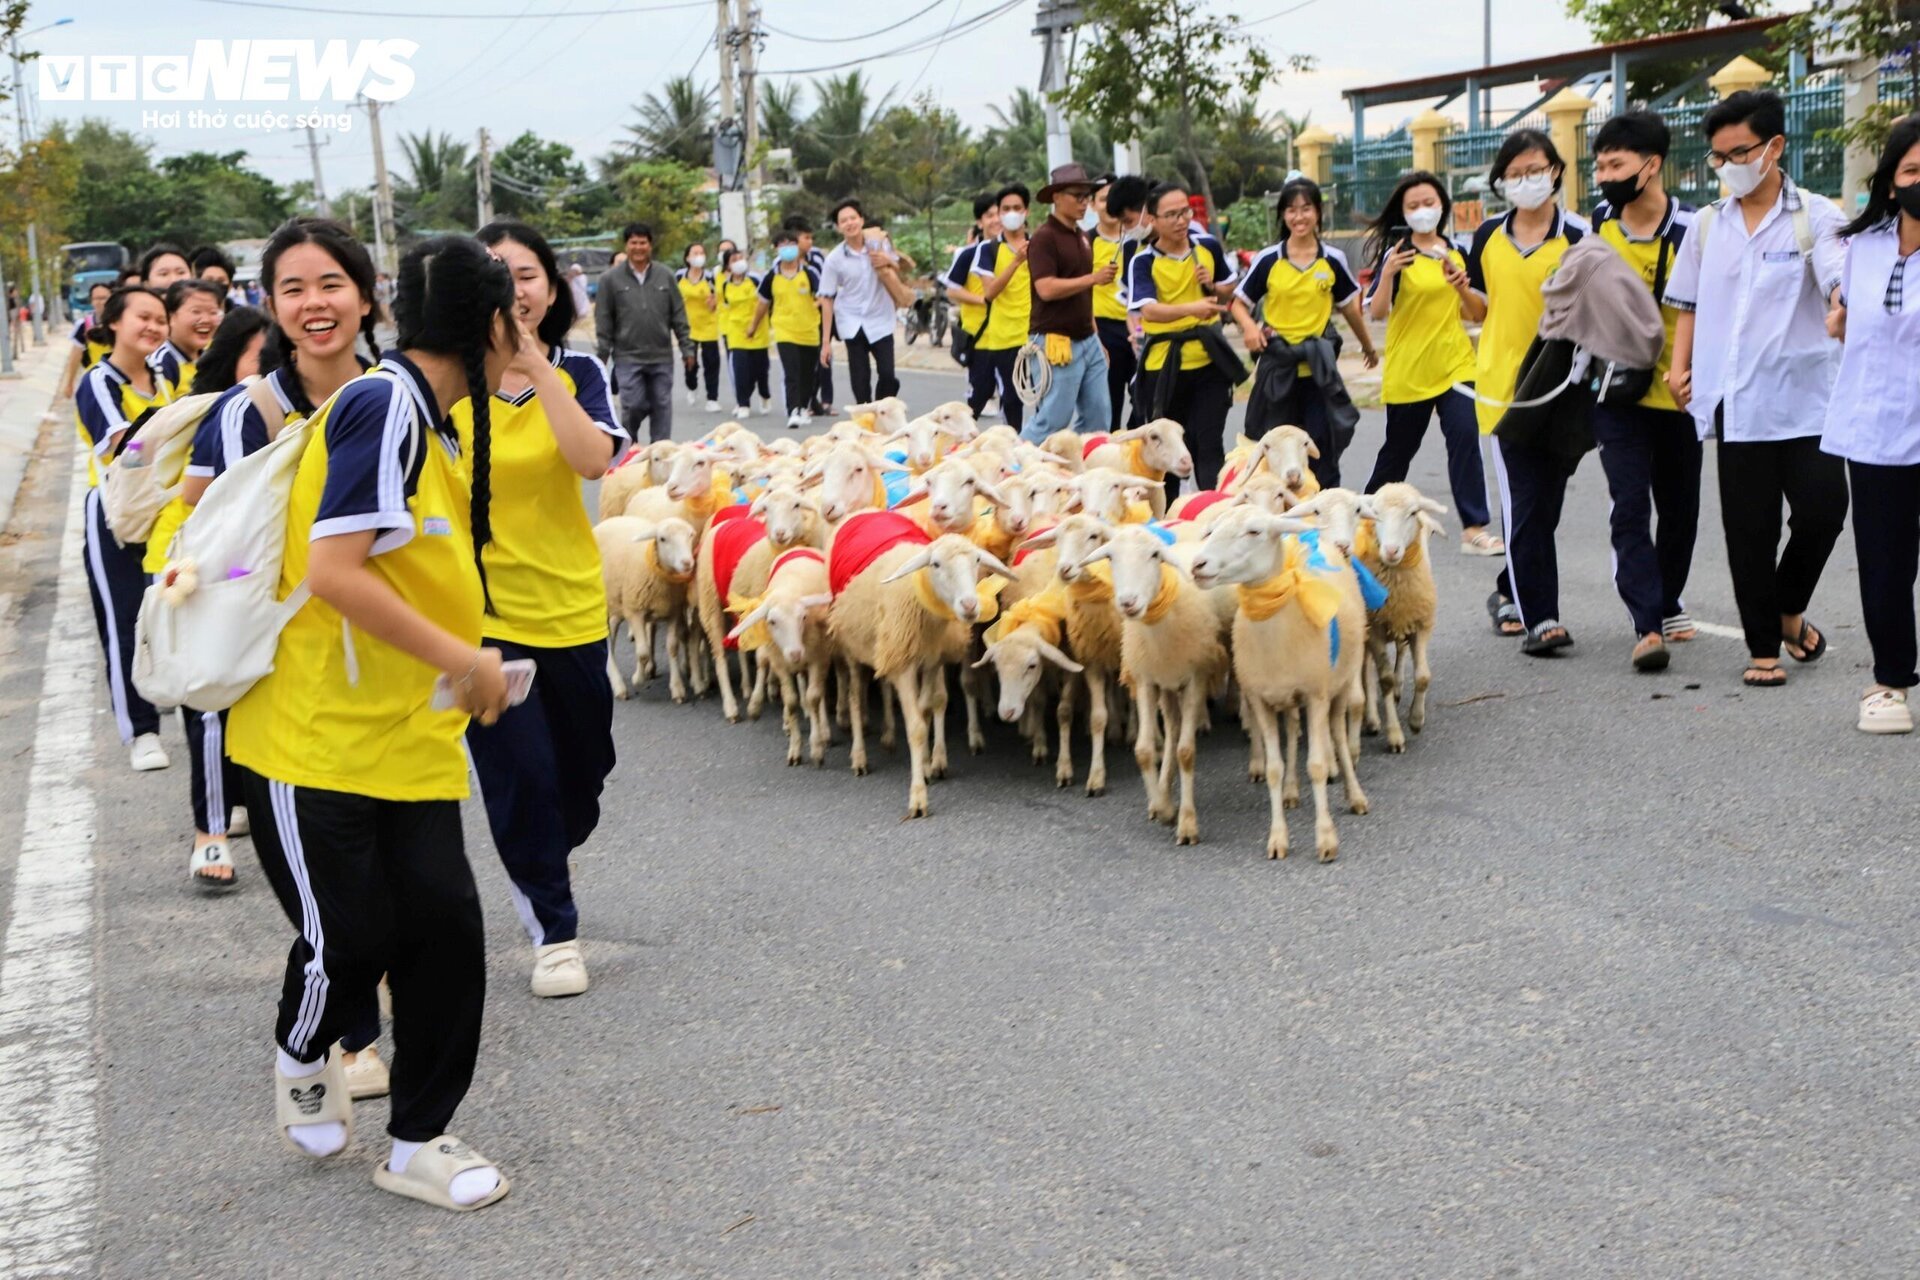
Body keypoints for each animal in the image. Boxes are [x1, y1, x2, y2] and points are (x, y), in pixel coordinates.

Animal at [595, 514, 702, 706]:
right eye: (662, 539)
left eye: (690, 535)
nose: (687, 563)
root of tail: (610, 520)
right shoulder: (635, 611)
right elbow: (643, 652)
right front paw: (638, 678)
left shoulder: (673, 611)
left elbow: (672, 647)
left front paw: (677, 688)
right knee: (607, 639)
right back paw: (618, 685)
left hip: (618, 601)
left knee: (612, 630)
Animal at [829, 514, 1021, 821]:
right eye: (936, 564)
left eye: (977, 561)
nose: (970, 605)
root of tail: (860, 513)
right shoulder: (904, 667)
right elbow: (917, 727)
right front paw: (918, 797)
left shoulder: (930, 660)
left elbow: (930, 707)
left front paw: (931, 763)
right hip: (852, 647)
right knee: (855, 698)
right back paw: (859, 756)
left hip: (885, 646)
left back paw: (889, 736)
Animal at [1067, 521, 1228, 840]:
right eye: (1110, 557)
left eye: (1155, 555)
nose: (1128, 602)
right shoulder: (1145, 680)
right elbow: (1143, 750)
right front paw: (1162, 807)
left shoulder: (1196, 678)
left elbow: (1186, 752)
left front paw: (1187, 824)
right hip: (1166, 682)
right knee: (1173, 728)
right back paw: (1164, 792)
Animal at [1190, 502, 1374, 859]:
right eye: (1211, 530)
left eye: (1254, 531)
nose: (1198, 565)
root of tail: (1316, 542)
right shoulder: (1261, 698)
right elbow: (1273, 768)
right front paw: (1277, 838)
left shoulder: (1316, 695)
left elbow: (1317, 765)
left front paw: (1326, 839)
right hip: (1287, 698)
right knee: (1291, 729)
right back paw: (1291, 791)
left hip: (1340, 686)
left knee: (1339, 736)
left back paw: (1355, 795)